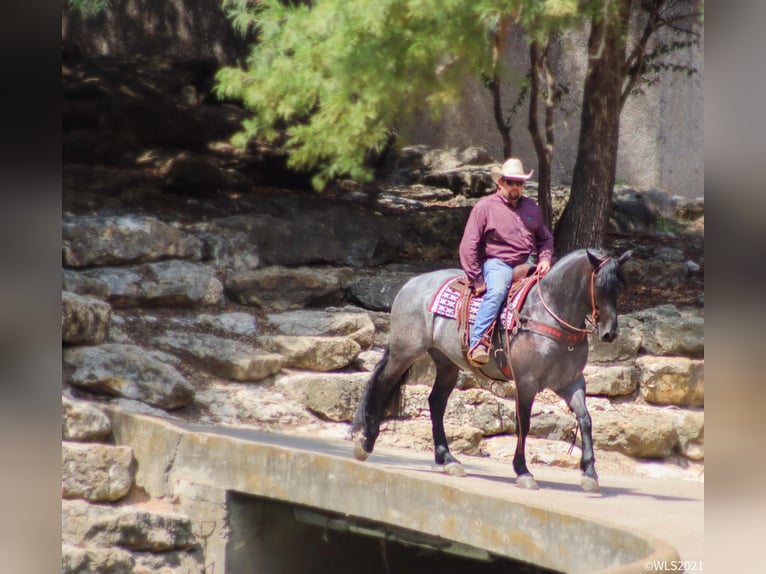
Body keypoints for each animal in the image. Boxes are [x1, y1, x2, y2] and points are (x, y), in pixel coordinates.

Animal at [352, 250, 632, 492]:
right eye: (600, 286)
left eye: (619, 288)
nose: (610, 333)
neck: (549, 316)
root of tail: (411, 283)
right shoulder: (526, 382)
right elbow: (524, 423)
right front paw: (523, 471)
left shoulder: (571, 382)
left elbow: (585, 419)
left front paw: (589, 473)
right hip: (404, 352)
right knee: (381, 385)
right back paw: (366, 443)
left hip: (446, 362)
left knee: (436, 402)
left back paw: (448, 459)